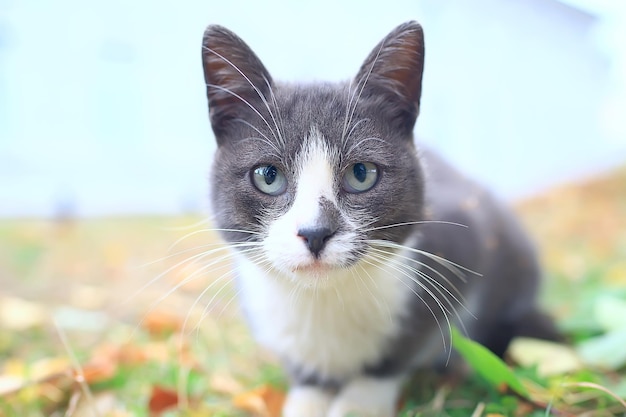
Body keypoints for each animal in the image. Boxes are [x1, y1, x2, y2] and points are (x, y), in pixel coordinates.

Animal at [200, 21, 556, 416]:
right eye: (268, 176)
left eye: (361, 174)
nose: (315, 232)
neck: (324, 302)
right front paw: (308, 397)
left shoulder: (465, 240)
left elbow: (402, 349)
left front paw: (358, 402)